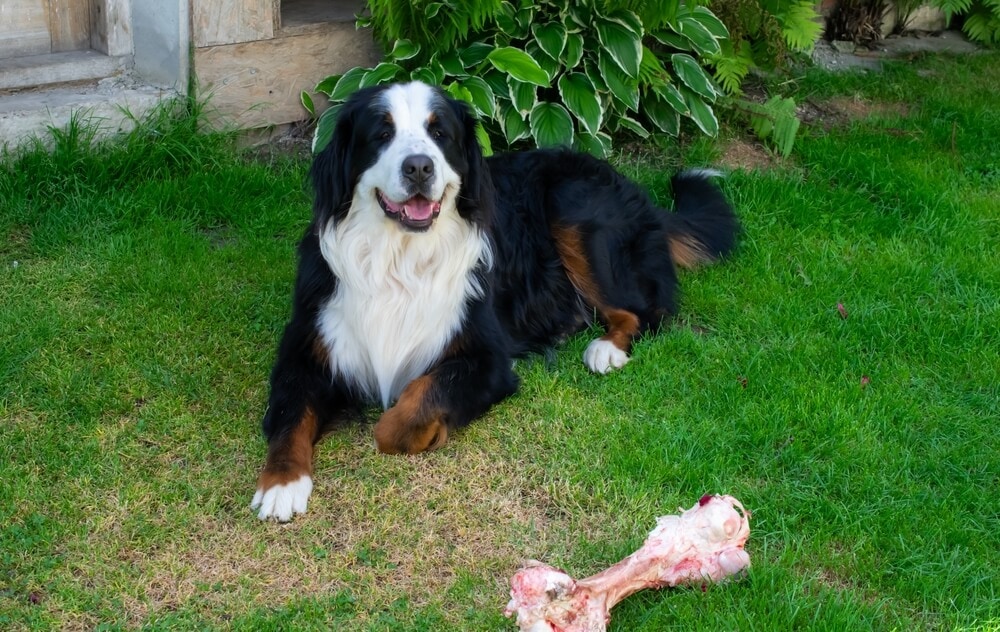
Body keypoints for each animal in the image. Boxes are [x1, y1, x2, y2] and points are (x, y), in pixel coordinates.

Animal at [250, 81, 736, 520]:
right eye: (382, 134)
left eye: (439, 133)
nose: (419, 167)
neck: (399, 259)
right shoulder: (306, 348)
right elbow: (290, 414)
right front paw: (281, 485)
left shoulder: (487, 361)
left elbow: (404, 413)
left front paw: (428, 433)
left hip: (575, 213)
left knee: (647, 311)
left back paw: (606, 350)